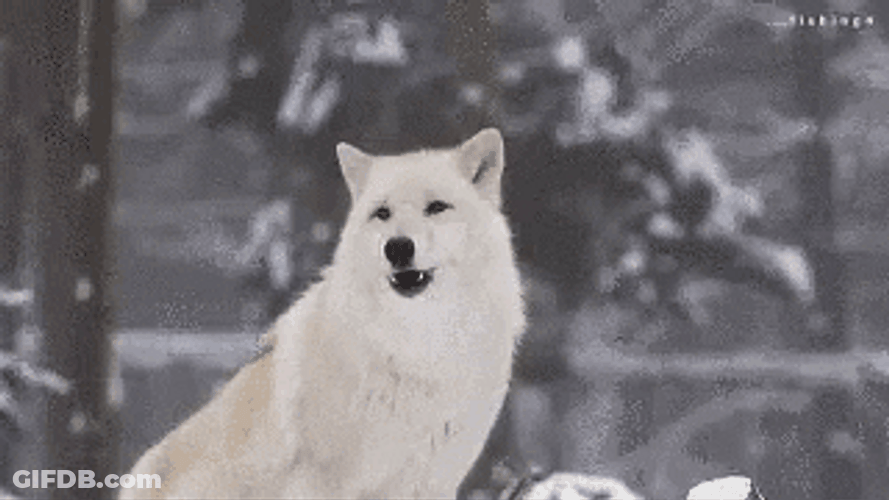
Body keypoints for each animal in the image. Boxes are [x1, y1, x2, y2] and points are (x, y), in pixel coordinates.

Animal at [120, 128, 525, 499]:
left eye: (437, 207)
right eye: (382, 213)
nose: (397, 247)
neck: (417, 349)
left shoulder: (432, 482)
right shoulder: (323, 481)